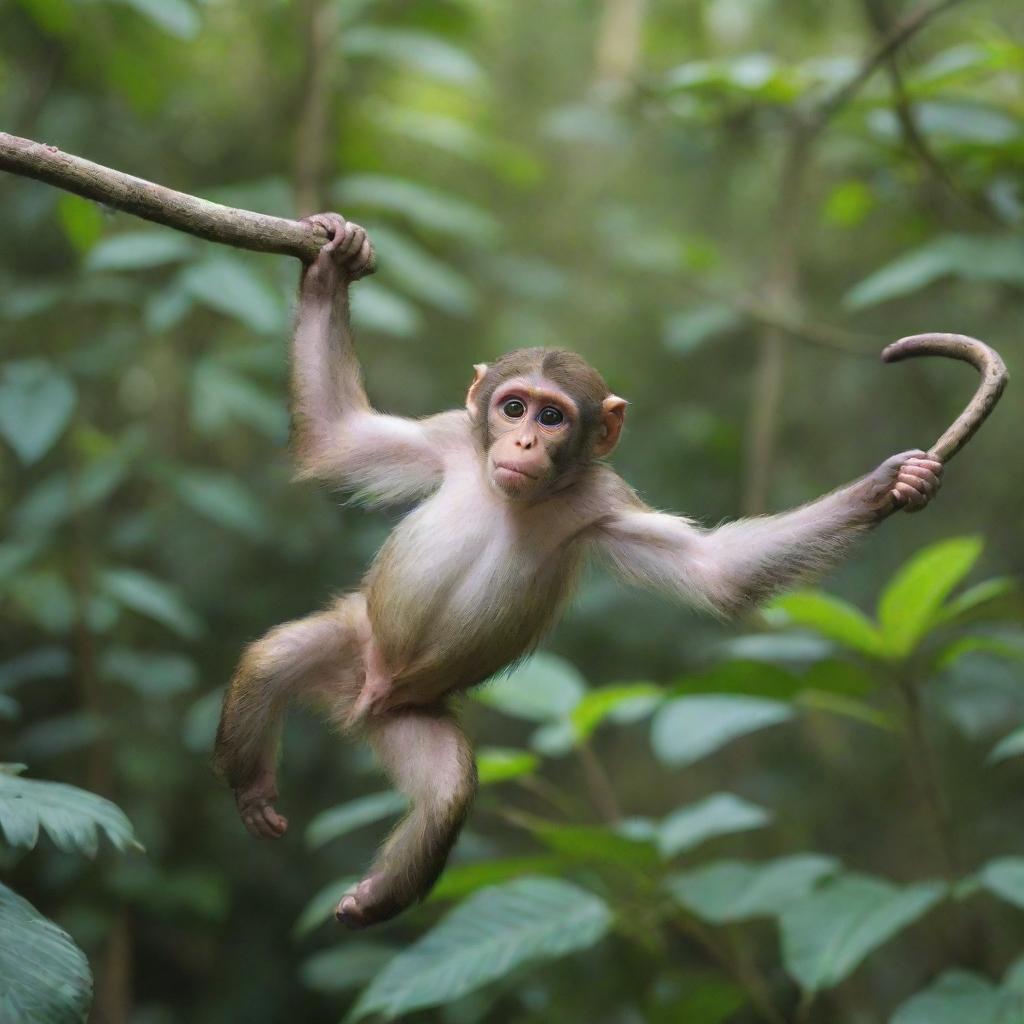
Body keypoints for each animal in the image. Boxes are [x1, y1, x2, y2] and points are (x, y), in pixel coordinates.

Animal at [211, 211, 937, 933]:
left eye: (553, 415)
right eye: (512, 407)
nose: (524, 440)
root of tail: (360, 702)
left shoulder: (603, 502)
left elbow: (714, 571)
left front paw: (886, 486)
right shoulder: (449, 440)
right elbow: (335, 436)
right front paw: (332, 267)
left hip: (411, 714)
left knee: (446, 792)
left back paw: (375, 896)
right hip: (355, 642)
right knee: (275, 658)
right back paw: (251, 788)